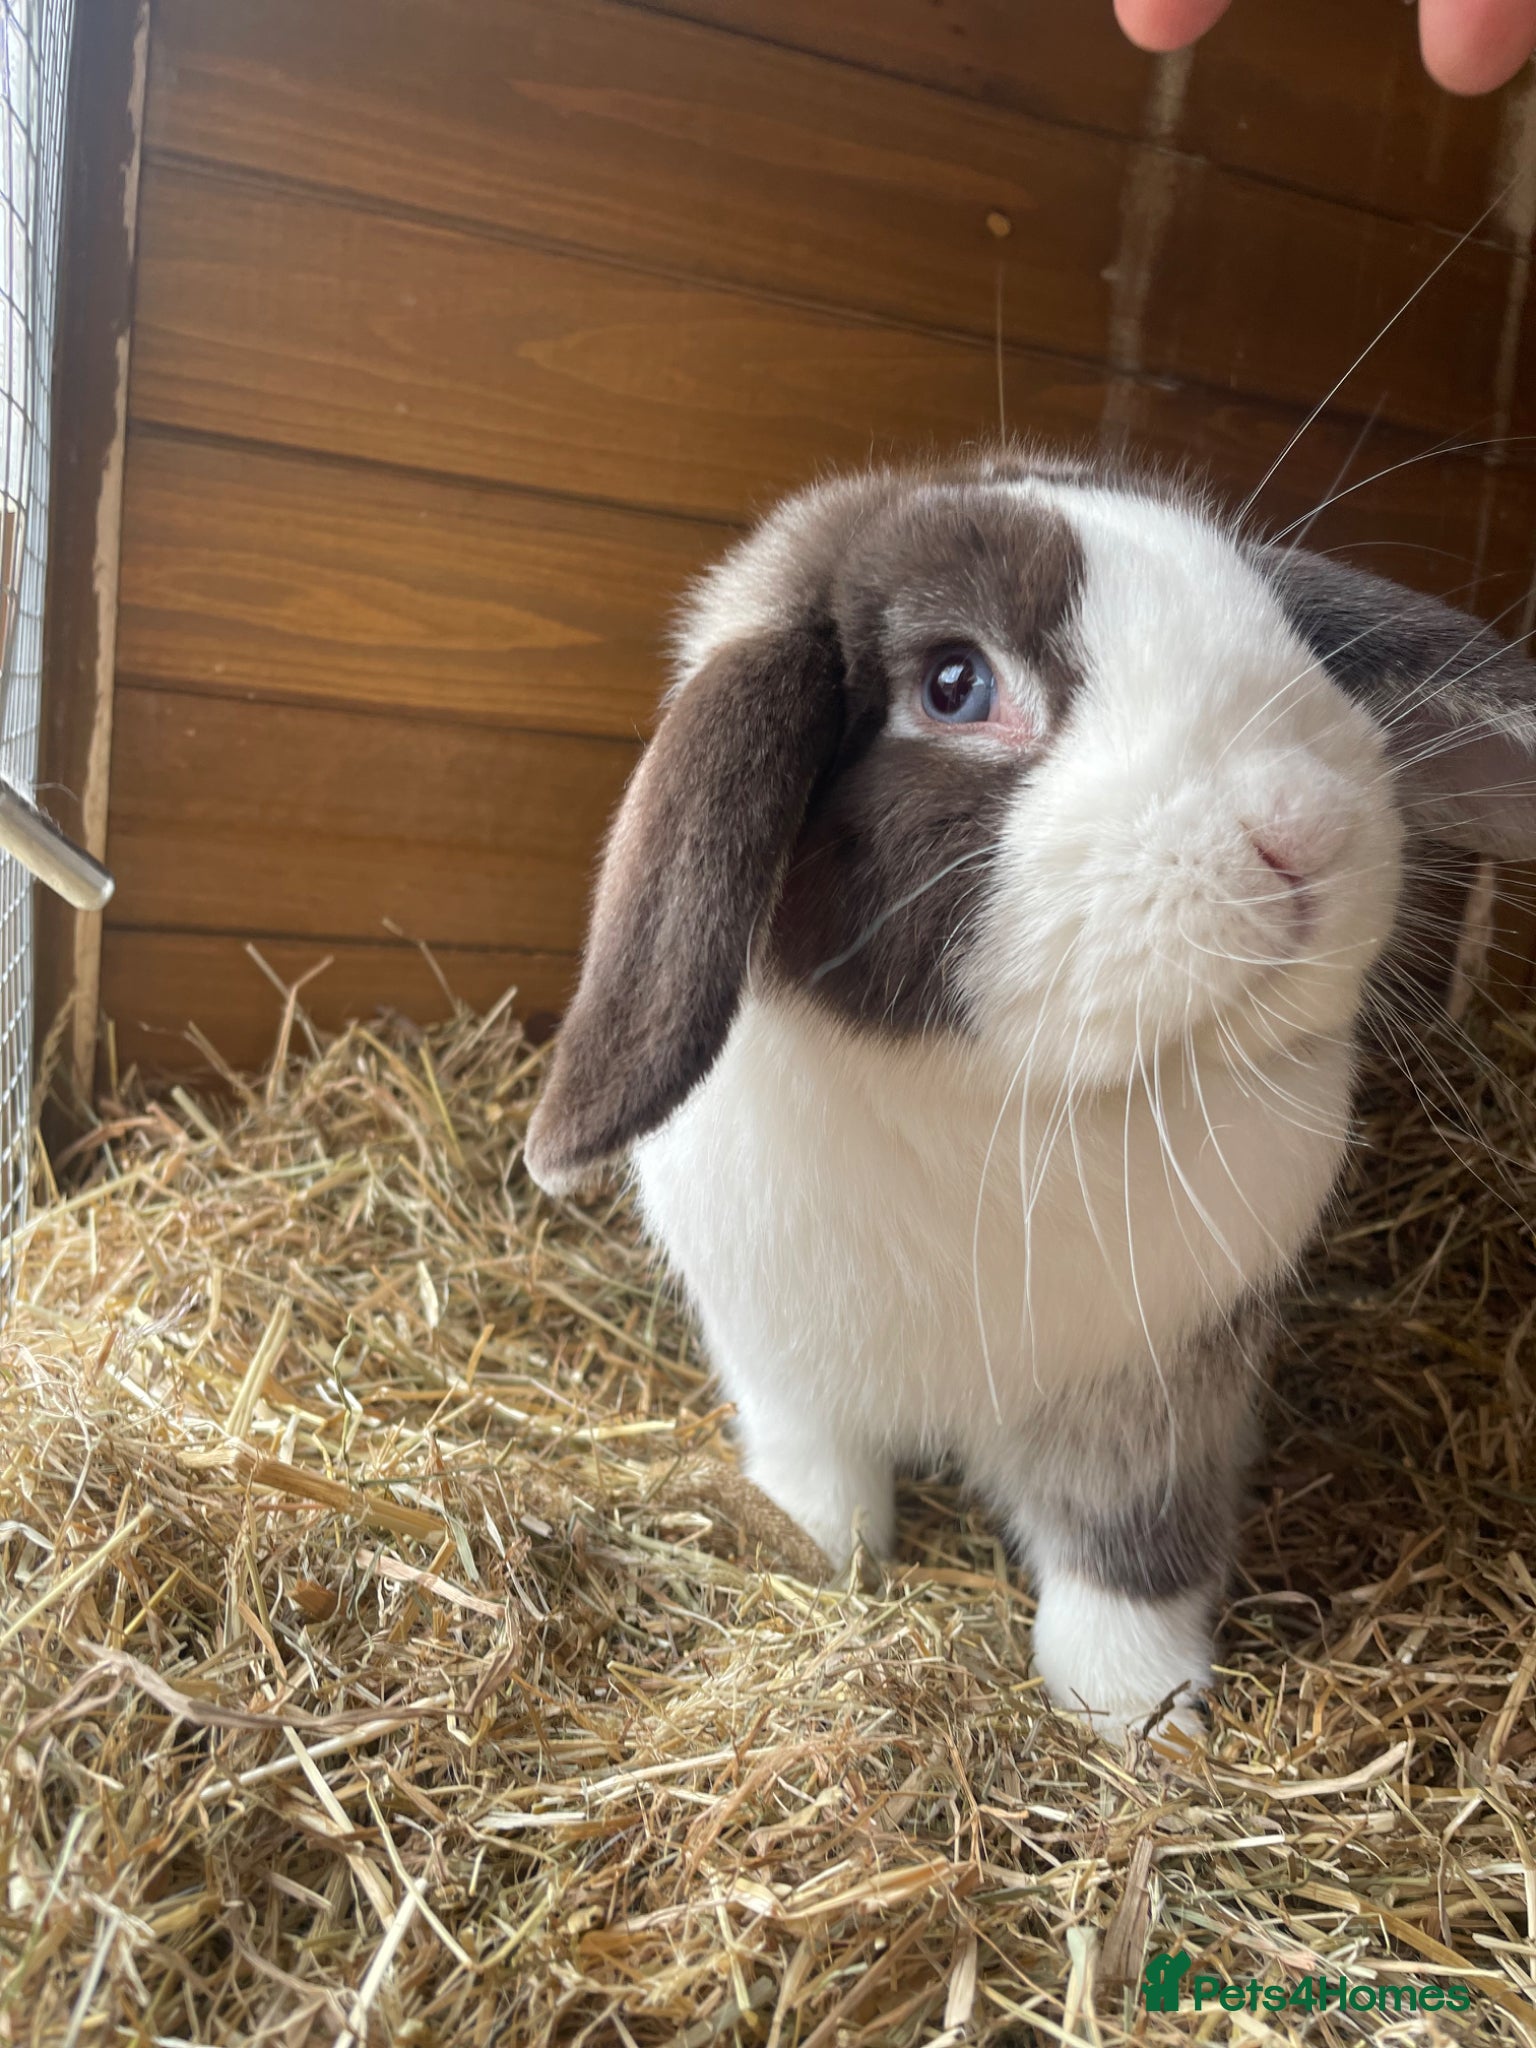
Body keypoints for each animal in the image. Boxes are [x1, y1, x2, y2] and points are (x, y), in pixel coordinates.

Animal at [523, 448, 1536, 1736]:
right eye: (955, 684)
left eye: (1276, 624)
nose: (1305, 830)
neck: (1009, 1099)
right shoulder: (776, 1355)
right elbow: (822, 1468)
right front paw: (814, 1545)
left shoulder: (1157, 1398)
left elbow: (1130, 1546)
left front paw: (1137, 1710)